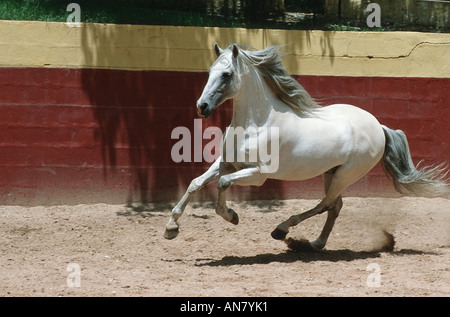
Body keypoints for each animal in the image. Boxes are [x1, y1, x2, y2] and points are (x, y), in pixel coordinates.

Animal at [163, 42, 448, 249]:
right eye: (210, 71)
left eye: (226, 74)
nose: (202, 107)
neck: (257, 124)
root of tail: (379, 127)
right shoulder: (227, 164)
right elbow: (196, 183)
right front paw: (171, 228)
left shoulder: (257, 175)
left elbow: (222, 184)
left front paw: (231, 216)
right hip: (331, 172)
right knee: (335, 206)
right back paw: (316, 243)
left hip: (346, 174)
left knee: (326, 204)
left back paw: (282, 230)